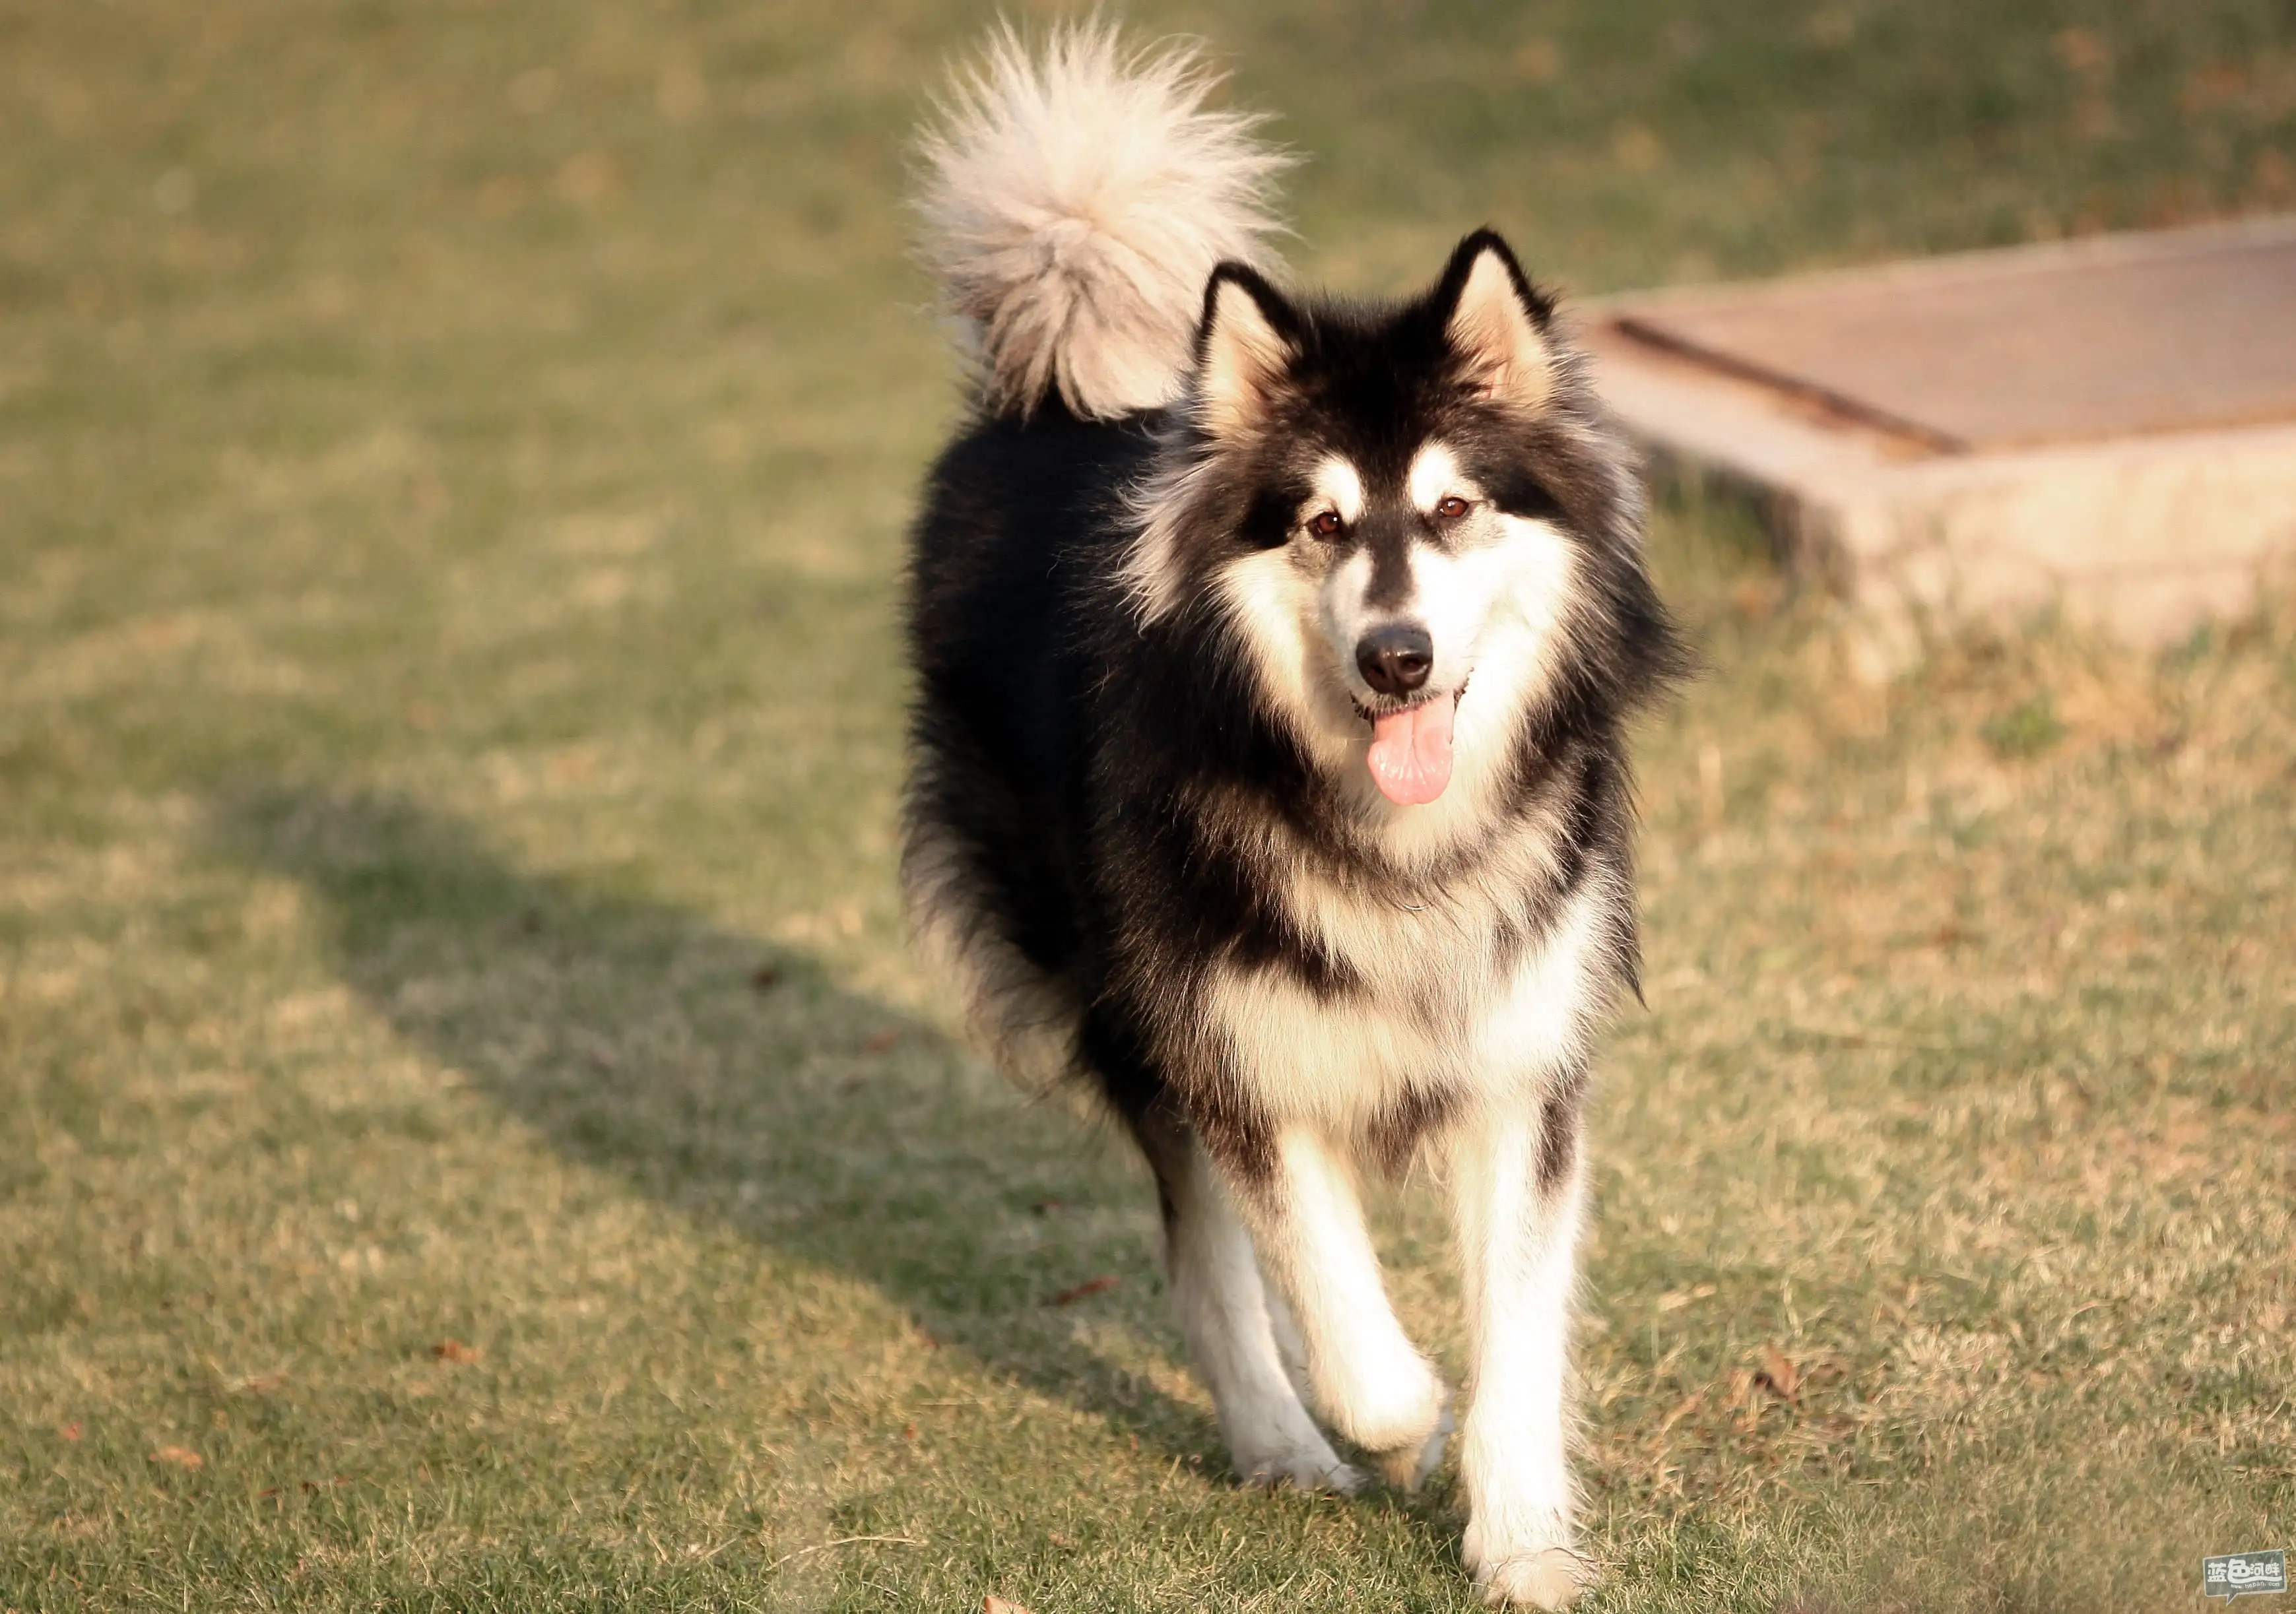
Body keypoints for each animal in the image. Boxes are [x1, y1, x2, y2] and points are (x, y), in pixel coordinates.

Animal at [904, 22, 1680, 1607]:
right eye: (1322, 524)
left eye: (1449, 509)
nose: (1396, 658)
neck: (1393, 847)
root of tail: (1042, 405)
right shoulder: (1241, 1059)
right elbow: (1346, 1332)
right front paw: (1403, 1428)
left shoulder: (1521, 1069)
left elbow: (1519, 1336)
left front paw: (1520, 1538)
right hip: (1126, 999)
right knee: (1204, 1254)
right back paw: (1275, 1442)